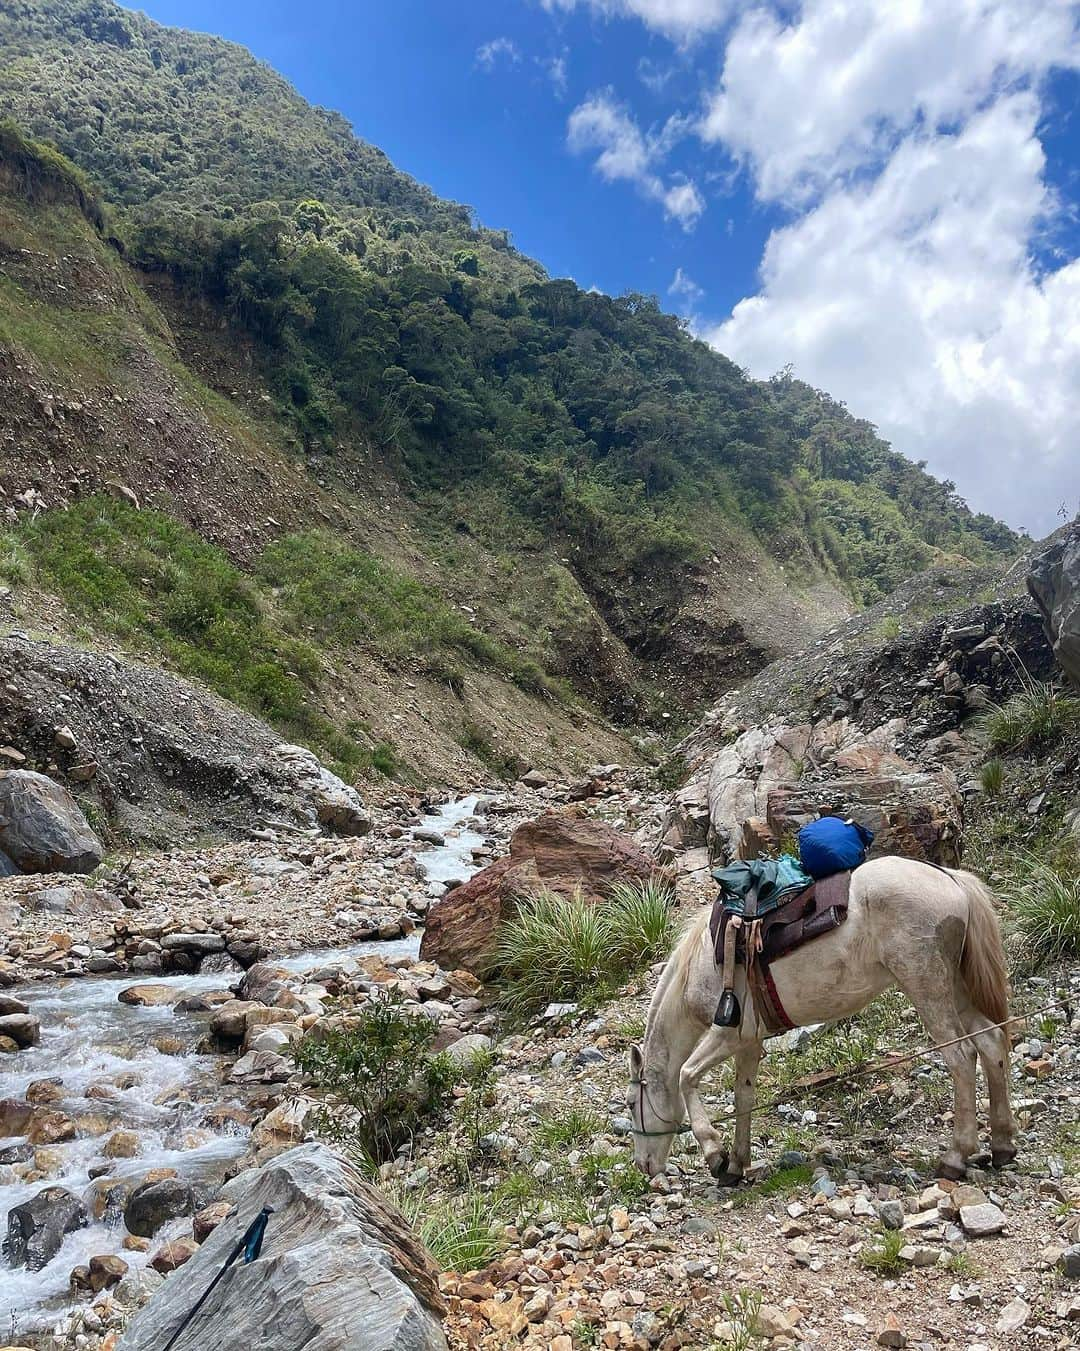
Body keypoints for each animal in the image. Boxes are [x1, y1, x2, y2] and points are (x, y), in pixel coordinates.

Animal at [629, 859, 1016, 1188]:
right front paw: (736, 1164)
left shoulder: (727, 1035)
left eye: (633, 1104)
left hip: (928, 988)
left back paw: (955, 1156)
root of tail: (952, 879)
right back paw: (1002, 1145)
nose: (644, 1167)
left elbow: (686, 1075)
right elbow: (743, 1096)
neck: (702, 963)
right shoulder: (749, 1042)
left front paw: (715, 1155)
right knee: (992, 1044)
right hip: (957, 989)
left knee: (962, 1058)